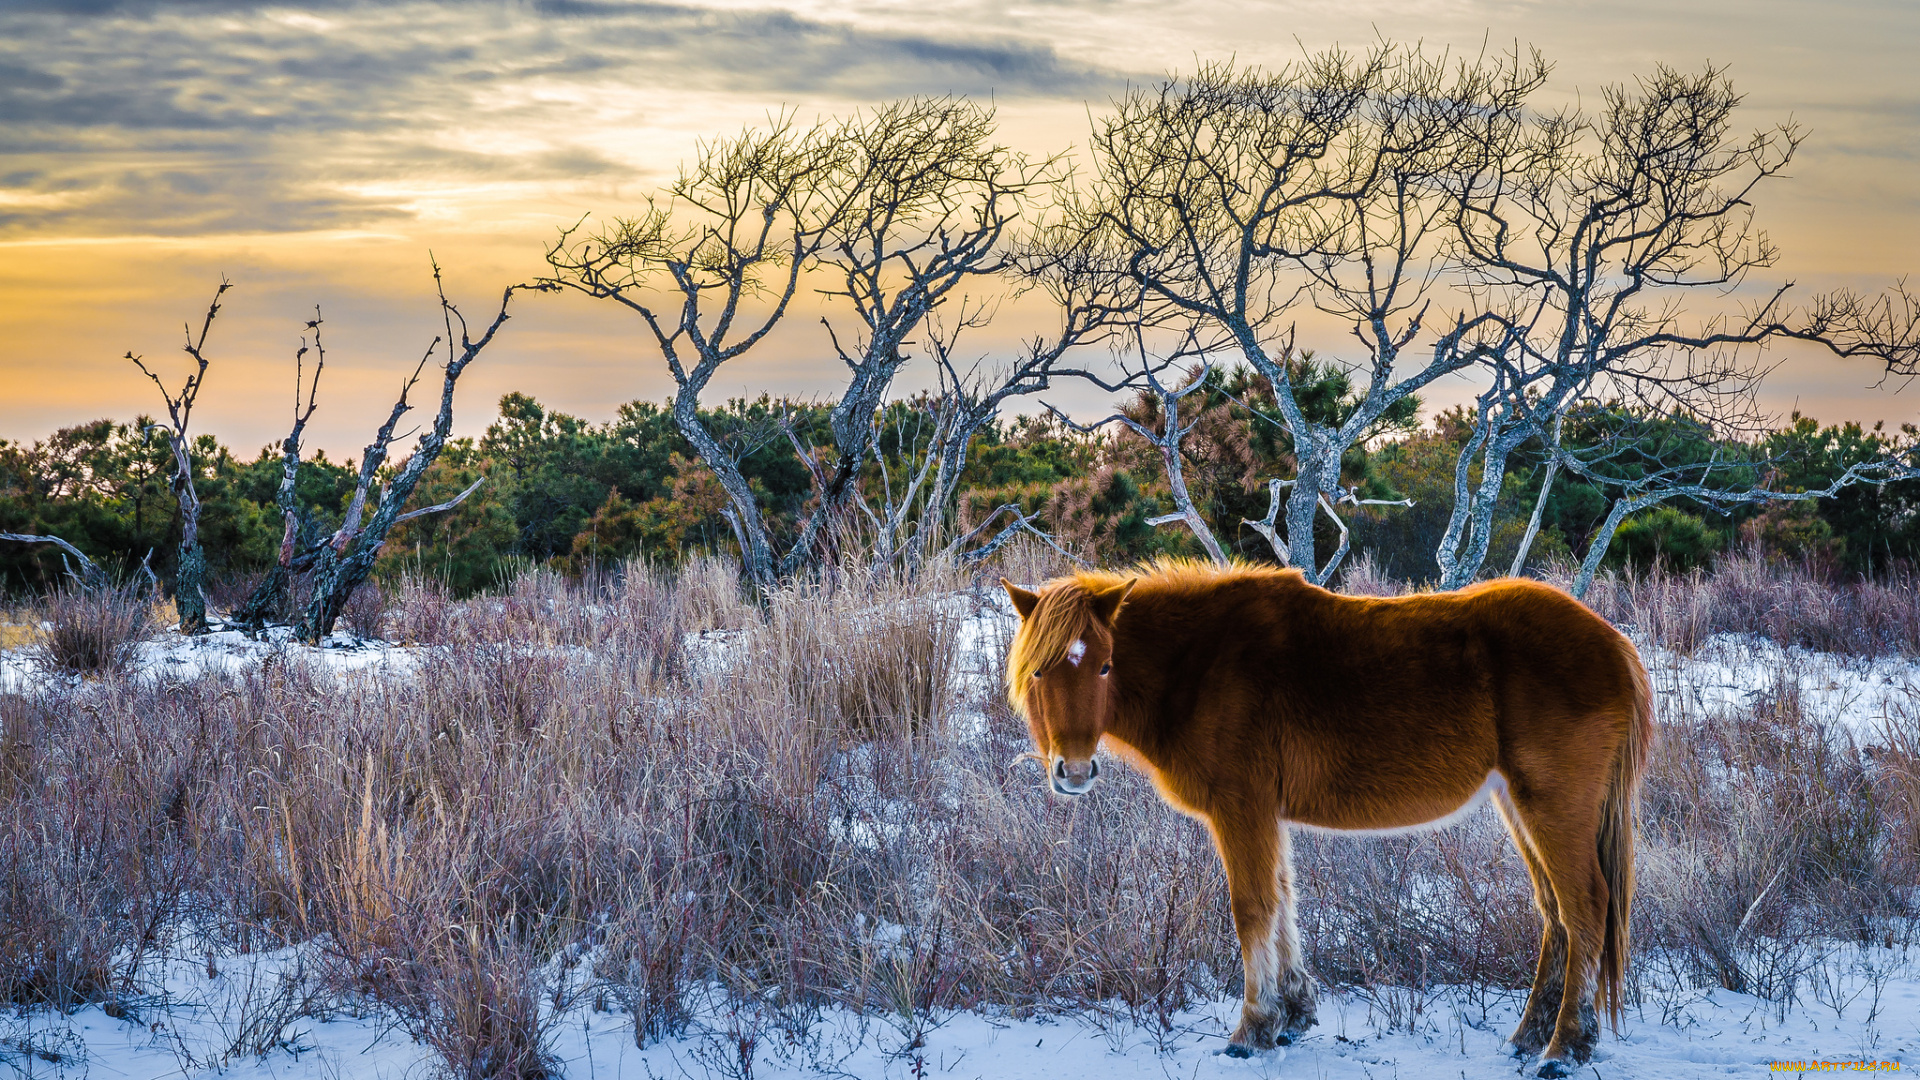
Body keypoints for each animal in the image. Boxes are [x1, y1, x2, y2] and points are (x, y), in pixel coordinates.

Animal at [1006, 557, 1651, 1068]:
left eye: (1105, 665)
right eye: (1039, 670)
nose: (1074, 772)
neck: (1203, 663)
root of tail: (1611, 644)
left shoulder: (1242, 809)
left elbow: (1252, 908)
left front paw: (1253, 1029)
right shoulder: (1266, 816)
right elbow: (1282, 901)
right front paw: (1292, 1015)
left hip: (1553, 807)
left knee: (1584, 907)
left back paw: (1564, 1048)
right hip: (1518, 805)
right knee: (1555, 913)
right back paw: (1528, 1038)